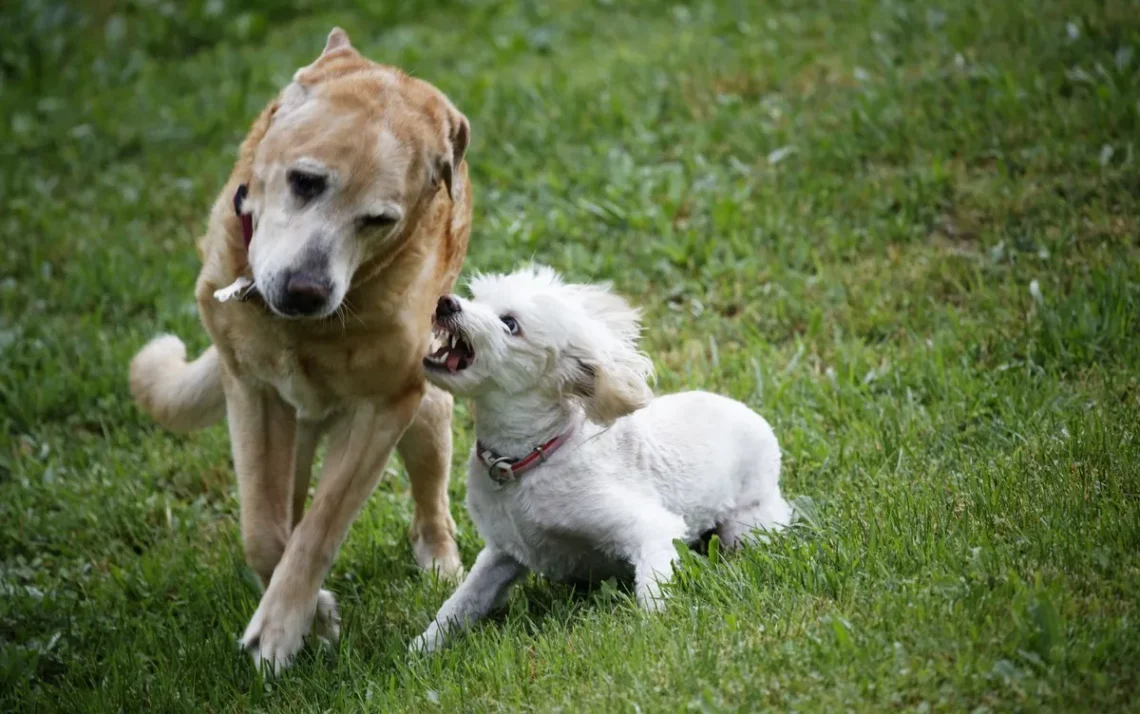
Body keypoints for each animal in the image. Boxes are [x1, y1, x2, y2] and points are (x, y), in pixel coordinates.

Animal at [130, 27, 471, 670]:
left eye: (378, 219)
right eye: (305, 182)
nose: (306, 290)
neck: (303, 331)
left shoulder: (383, 407)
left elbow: (321, 526)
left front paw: (284, 626)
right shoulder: (252, 391)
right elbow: (264, 531)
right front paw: (312, 614)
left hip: (420, 417)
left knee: (429, 487)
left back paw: (440, 560)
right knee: (283, 506)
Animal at [412, 265, 793, 652]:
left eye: (510, 323)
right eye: (477, 297)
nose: (445, 303)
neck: (529, 460)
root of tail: (753, 416)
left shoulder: (651, 529)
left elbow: (653, 589)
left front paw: (655, 631)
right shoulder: (503, 553)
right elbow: (462, 603)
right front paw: (422, 648)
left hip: (749, 525)